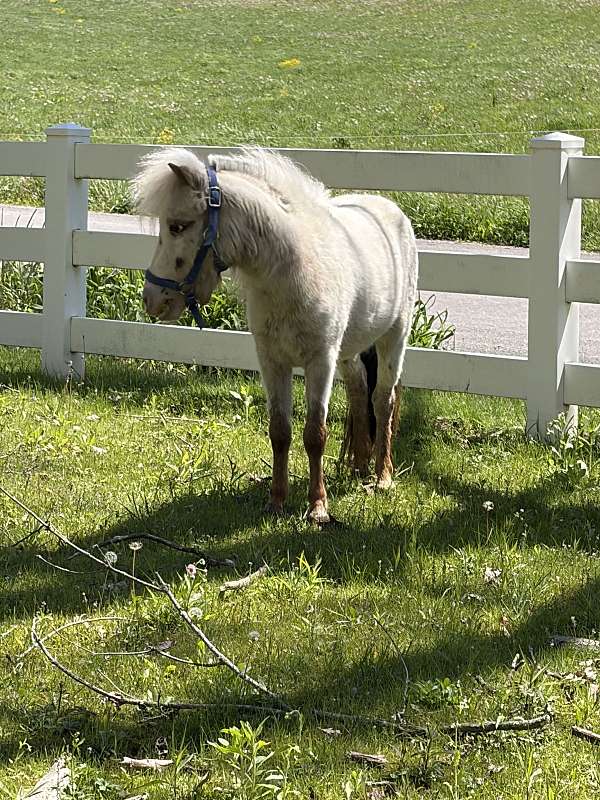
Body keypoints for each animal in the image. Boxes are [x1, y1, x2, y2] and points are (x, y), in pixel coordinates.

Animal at [132, 147, 418, 524]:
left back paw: (382, 477)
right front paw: (277, 501)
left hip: (394, 338)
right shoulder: (272, 362)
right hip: (348, 352)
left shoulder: (319, 362)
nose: (152, 299)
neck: (291, 270)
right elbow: (280, 431)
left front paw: (317, 508)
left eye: (178, 225)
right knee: (358, 393)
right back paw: (358, 467)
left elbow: (315, 434)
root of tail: (389, 209)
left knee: (383, 400)